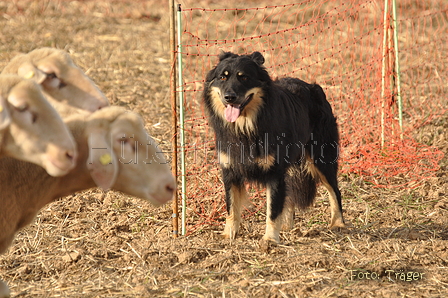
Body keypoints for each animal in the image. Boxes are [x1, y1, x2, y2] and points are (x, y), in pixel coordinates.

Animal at [201, 50, 344, 242]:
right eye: (222, 77)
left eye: (244, 77)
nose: (229, 97)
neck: (245, 126)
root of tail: (314, 87)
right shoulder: (230, 169)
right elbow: (231, 206)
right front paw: (228, 234)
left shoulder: (274, 172)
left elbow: (272, 209)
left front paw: (269, 239)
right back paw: (287, 225)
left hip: (321, 157)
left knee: (334, 189)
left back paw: (338, 224)